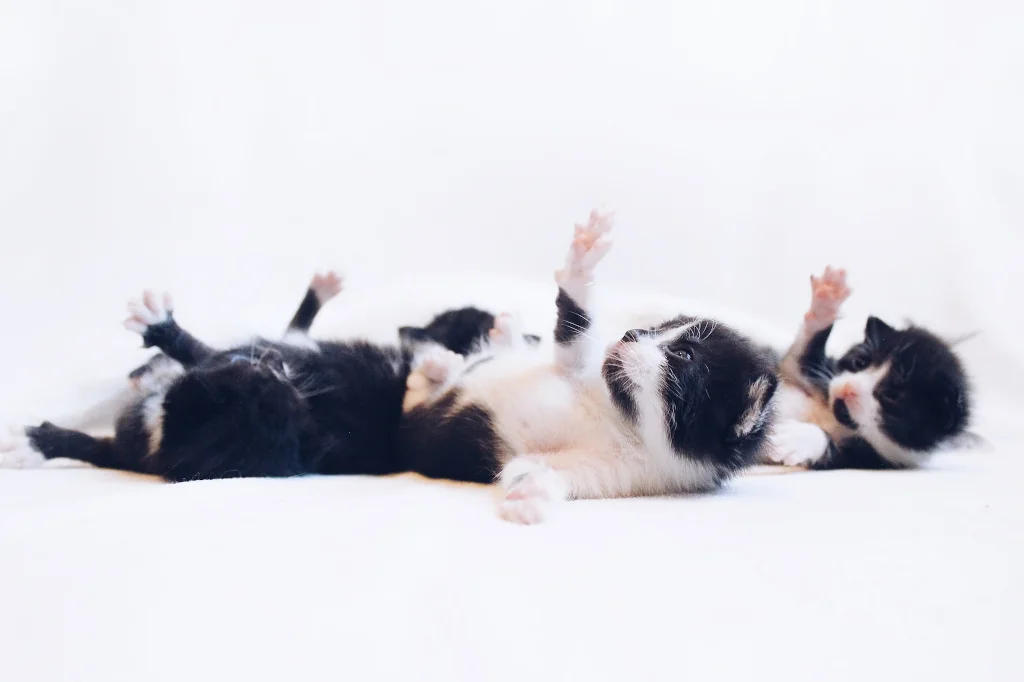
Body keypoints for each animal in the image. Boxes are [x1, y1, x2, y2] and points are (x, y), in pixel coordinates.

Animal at [393, 209, 774, 522]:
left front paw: (534, 491)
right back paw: (455, 357)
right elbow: (575, 330)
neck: (617, 418)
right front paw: (583, 260)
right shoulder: (577, 368)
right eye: (656, 329)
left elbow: (534, 469)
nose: (630, 333)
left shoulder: (628, 473)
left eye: (683, 355)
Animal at [770, 266, 974, 466]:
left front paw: (798, 439)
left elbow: (836, 453)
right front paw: (826, 302)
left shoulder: (874, 459)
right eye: (859, 363)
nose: (848, 388)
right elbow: (797, 361)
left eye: (891, 395)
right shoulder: (809, 377)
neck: (835, 419)